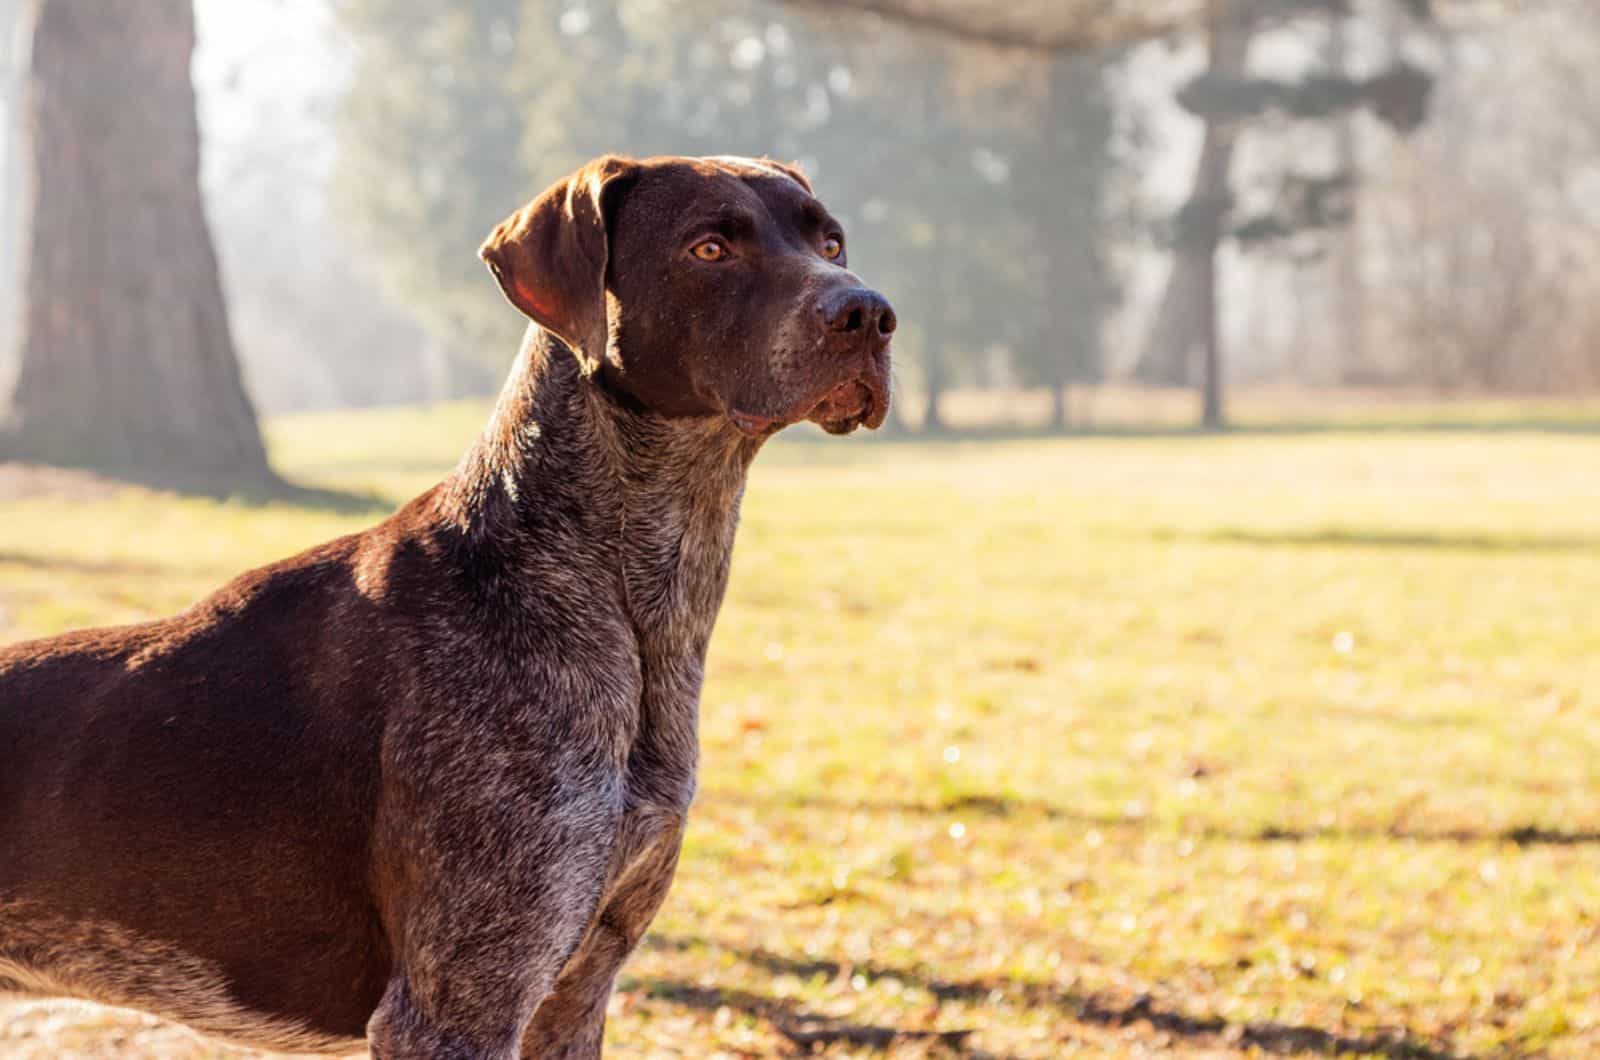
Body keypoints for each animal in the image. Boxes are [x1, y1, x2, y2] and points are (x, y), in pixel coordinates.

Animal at [0, 153, 902, 1056]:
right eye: (710, 247)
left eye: (829, 241)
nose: (869, 313)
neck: (623, 601)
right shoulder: (455, 1007)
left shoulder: (574, 997)